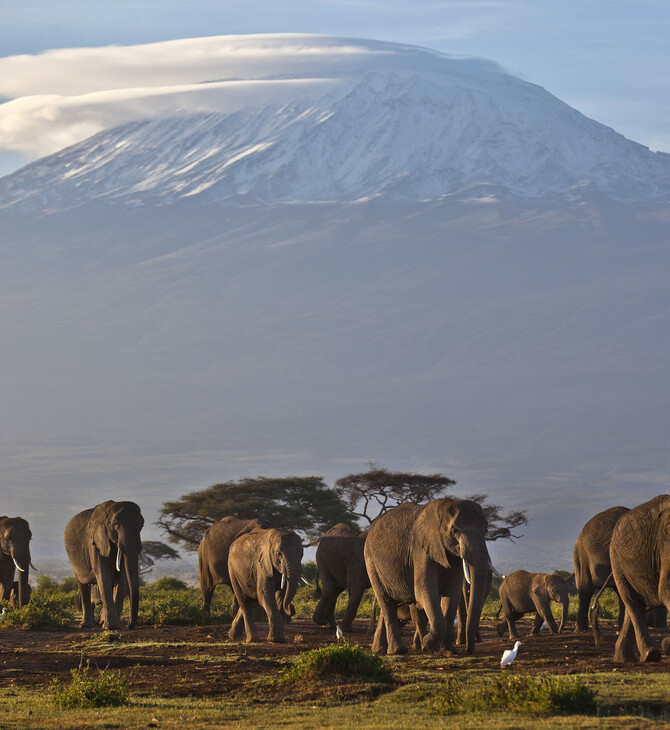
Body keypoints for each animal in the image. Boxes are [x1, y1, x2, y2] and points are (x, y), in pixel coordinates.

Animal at [64, 498, 144, 628]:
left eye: (142, 525)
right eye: (115, 524)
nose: (128, 626)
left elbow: (122, 576)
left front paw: (110, 625)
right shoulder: (96, 541)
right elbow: (102, 573)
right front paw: (111, 627)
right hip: (74, 560)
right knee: (83, 585)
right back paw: (86, 625)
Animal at [362, 498, 494, 652]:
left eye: (486, 530)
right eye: (454, 531)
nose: (468, 649)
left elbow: (452, 594)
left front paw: (448, 651)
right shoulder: (420, 549)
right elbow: (424, 589)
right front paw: (428, 644)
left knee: (389, 604)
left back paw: (379, 650)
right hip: (371, 562)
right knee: (386, 603)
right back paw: (398, 650)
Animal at [604, 494, 670, 660]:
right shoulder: (665, 544)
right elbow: (666, 589)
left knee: (634, 606)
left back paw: (624, 659)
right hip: (617, 561)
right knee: (633, 604)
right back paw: (649, 655)